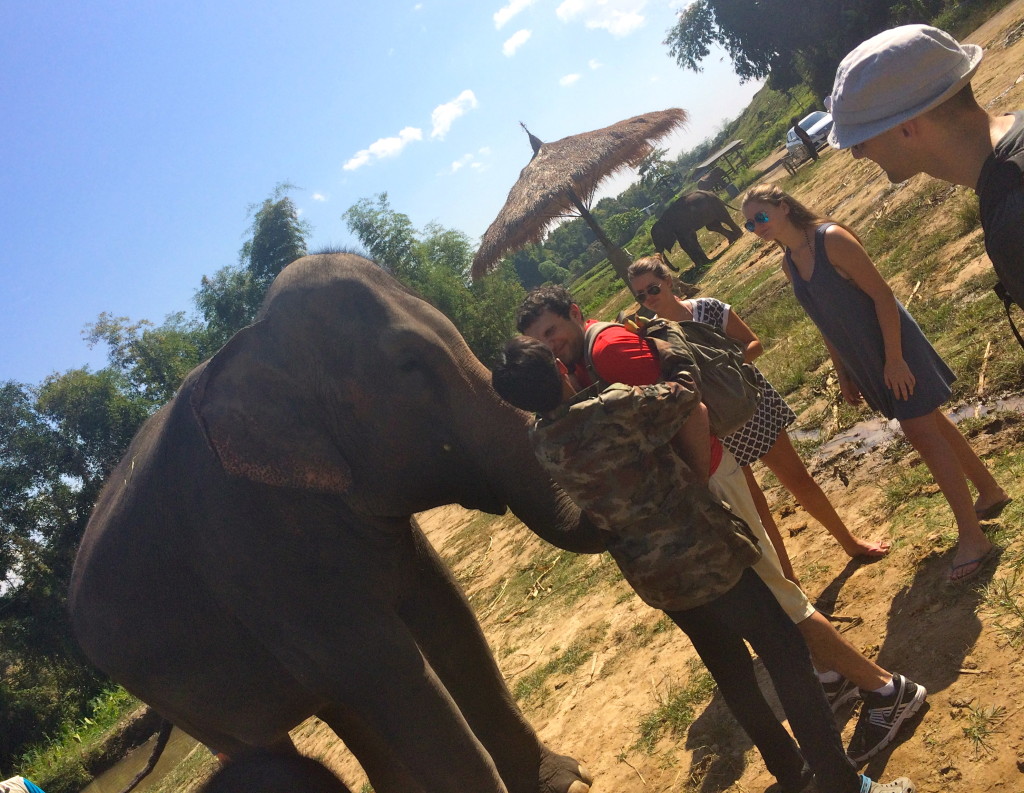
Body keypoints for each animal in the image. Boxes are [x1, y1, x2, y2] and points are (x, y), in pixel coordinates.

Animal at [72, 253, 602, 793]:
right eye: (408, 365)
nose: (527, 360)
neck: (261, 340)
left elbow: (449, 615)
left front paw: (567, 781)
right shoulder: (251, 551)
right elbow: (389, 673)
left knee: (339, 705)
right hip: (168, 693)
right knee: (263, 740)